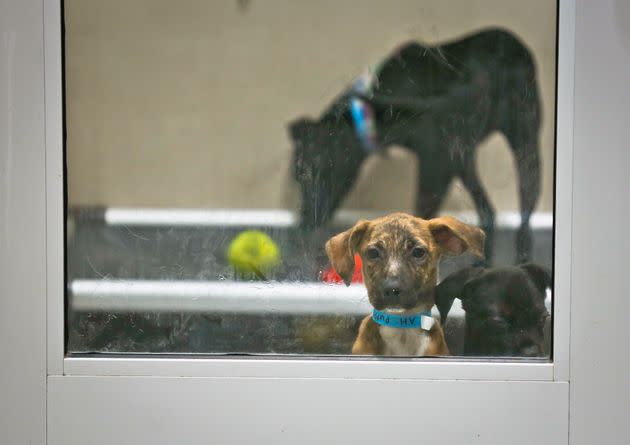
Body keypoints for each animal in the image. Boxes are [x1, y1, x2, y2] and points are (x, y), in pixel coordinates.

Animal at [292, 28, 544, 264]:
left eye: (308, 172)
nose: (304, 223)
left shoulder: (436, 159)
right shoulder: (456, 160)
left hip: (449, 160)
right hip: (516, 146)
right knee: (507, 214)